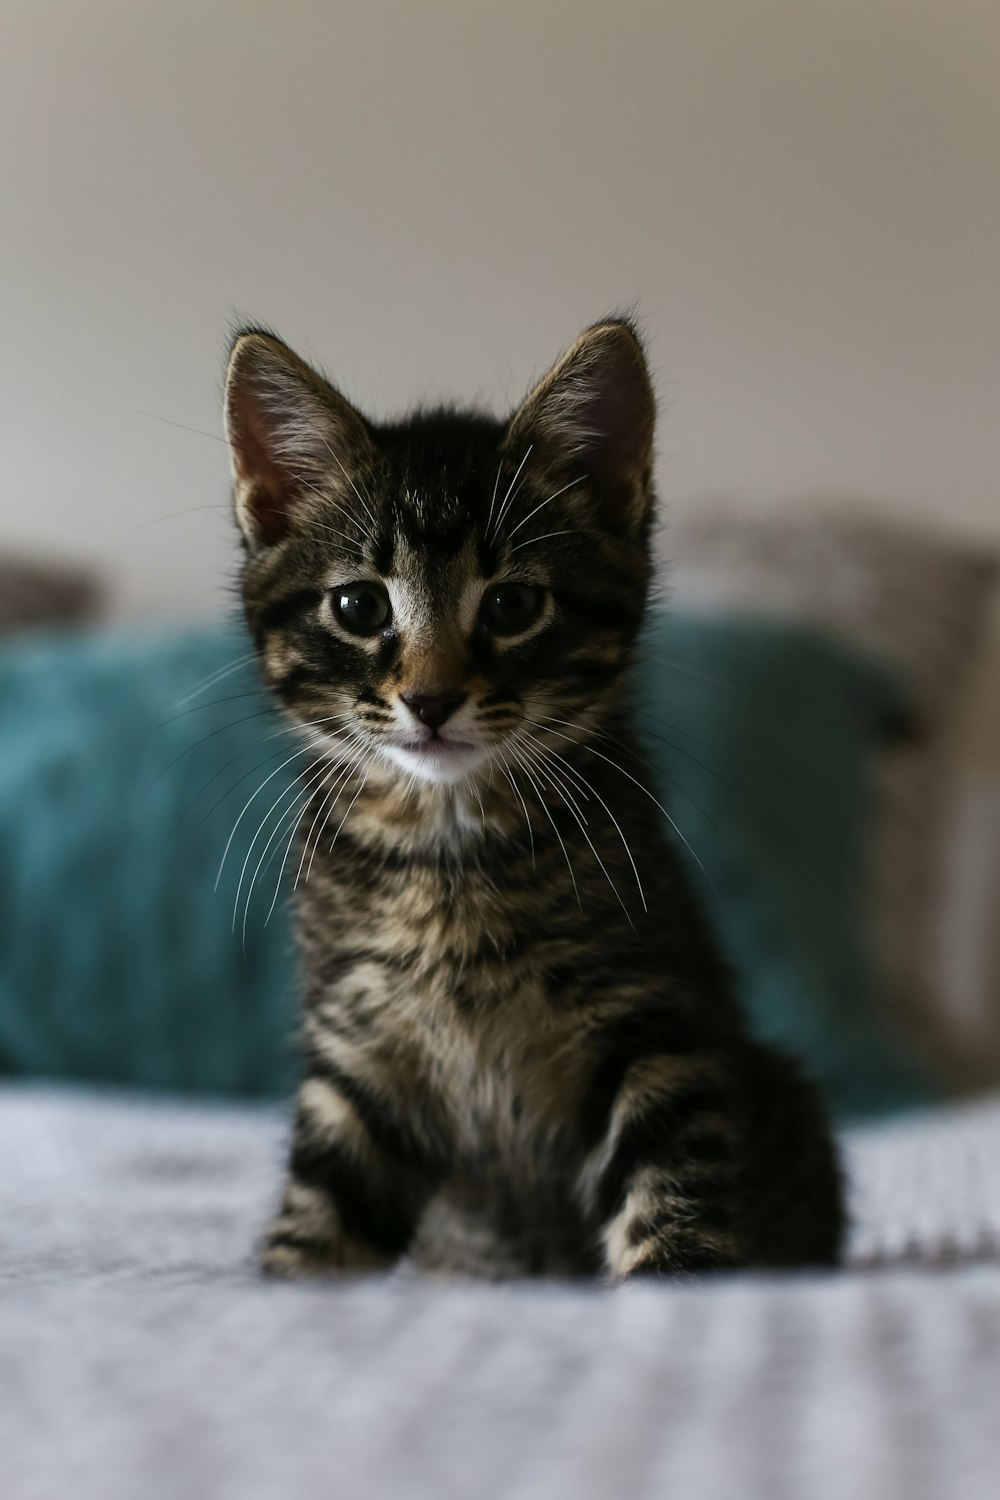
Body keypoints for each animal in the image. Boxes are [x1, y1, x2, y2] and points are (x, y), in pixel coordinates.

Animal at [224, 316, 845, 1278]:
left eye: (513, 605)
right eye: (360, 607)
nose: (431, 699)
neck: (447, 853)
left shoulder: (653, 1027)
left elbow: (675, 1196)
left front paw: (676, 1285)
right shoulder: (357, 1050)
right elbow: (318, 1222)